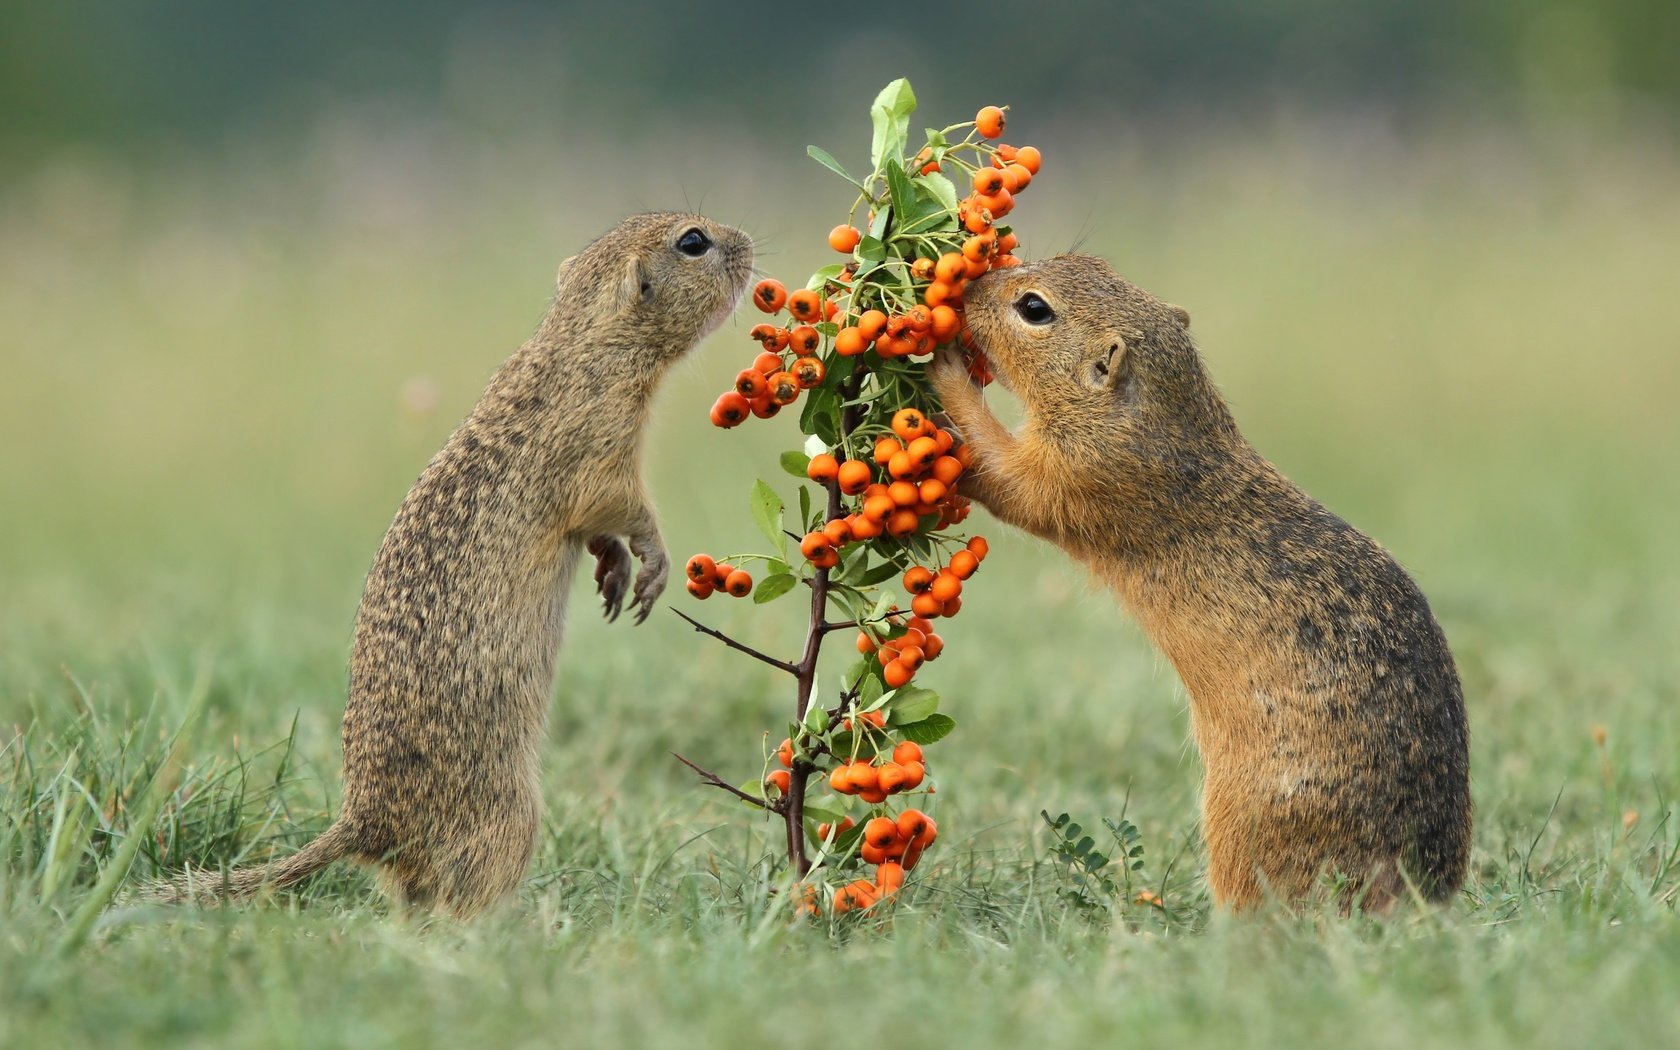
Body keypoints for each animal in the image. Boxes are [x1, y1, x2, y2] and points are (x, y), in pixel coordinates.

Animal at [151, 215, 756, 913]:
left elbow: (598, 532)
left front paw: (613, 573)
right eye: (693, 242)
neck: (584, 341)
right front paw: (651, 566)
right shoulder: (603, 445)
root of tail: (364, 824)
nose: (748, 243)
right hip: (510, 818)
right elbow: (623, 508)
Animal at [934, 253, 1471, 907]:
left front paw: (942, 372)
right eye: (1086, 260)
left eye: (1034, 308)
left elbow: (1000, 470)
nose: (966, 290)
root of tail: (1419, 895)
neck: (1168, 424)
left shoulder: (1078, 473)